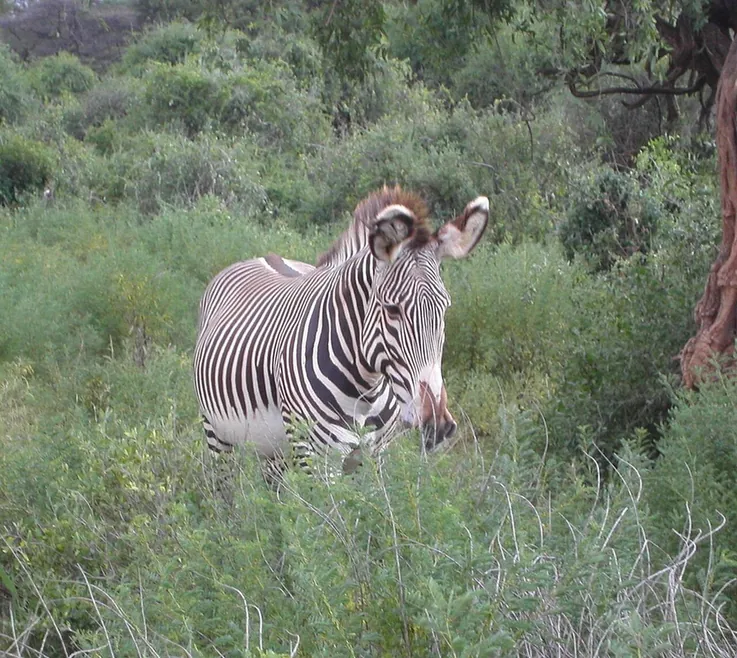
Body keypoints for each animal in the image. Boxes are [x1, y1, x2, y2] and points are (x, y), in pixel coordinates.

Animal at [193, 186, 489, 477]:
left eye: (444, 308)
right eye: (392, 309)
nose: (436, 425)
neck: (367, 389)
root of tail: (262, 257)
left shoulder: (376, 455)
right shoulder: (316, 458)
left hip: (274, 449)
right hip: (217, 435)